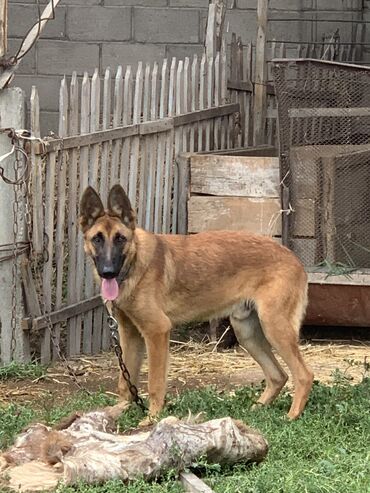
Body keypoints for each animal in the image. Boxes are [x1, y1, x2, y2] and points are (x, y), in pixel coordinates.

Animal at [79, 183, 314, 420]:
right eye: (97, 239)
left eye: (120, 239)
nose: (108, 272)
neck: (134, 263)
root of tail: (295, 259)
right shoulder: (130, 334)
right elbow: (125, 382)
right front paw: (118, 411)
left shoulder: (156, 331)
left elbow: (155, 382)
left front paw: (152, 417)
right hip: (247, 332)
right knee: (278, 375)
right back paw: (256, 409)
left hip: (274, 327)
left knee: (304, 375)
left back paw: (291, 416)